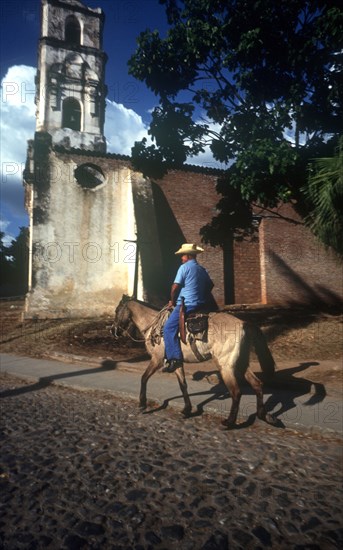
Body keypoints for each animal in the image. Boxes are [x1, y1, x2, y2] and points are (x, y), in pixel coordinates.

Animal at [111, 298, 278, 432]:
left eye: (117, 311)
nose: (113, 330)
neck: (154, 327)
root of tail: (243, 323)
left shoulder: (157, 360)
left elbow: (144, 378)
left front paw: (142, 403)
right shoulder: (176, 362)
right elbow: (183, 385)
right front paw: (187, 409)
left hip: (226, 367)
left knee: (236, 392)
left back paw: (229, 422)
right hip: (240, 364)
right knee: (257, 384)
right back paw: (264, 416)